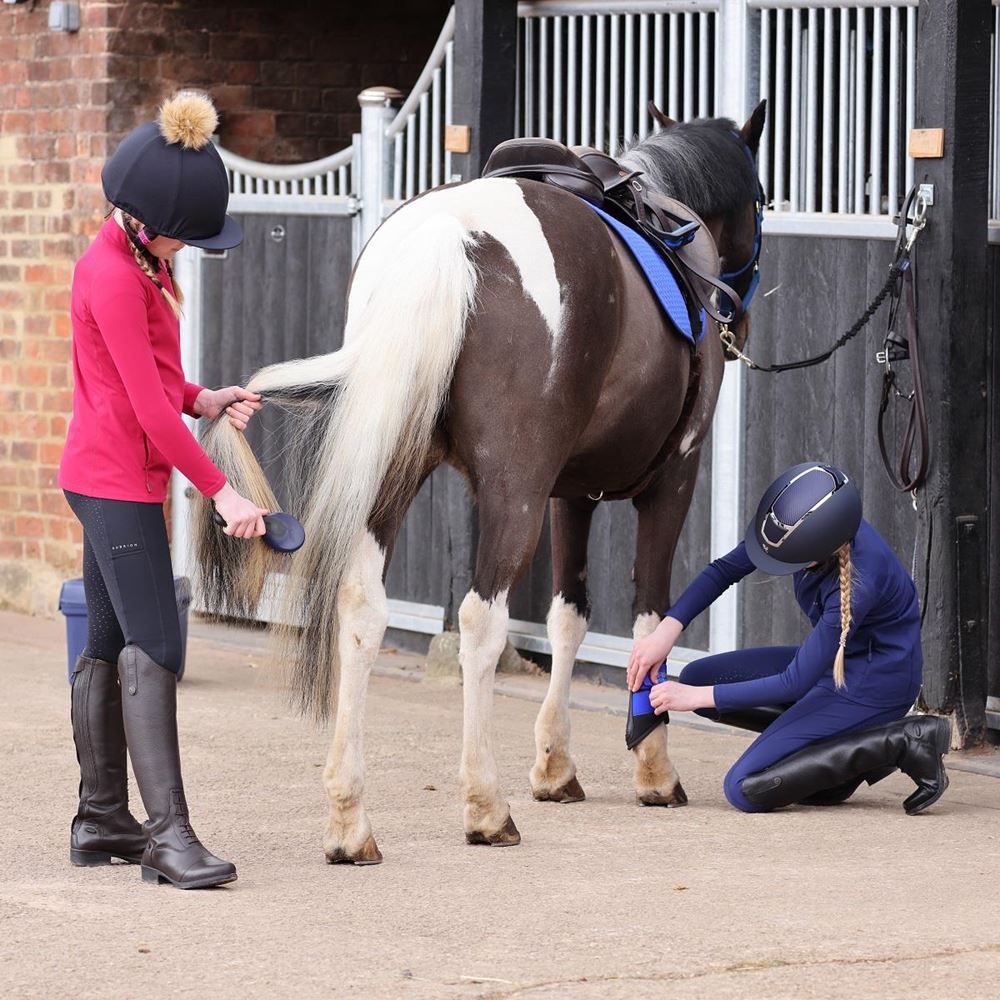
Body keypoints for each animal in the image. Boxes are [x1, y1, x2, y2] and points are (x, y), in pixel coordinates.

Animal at [195, 105, 764, 864]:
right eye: (761, 200)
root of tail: (449, 236)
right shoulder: (670, 479)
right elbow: (650, 619)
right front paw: (653, 768)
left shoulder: (569, 493)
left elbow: (567, 615)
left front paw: (556, 764)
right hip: (512, 492)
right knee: (479, 621)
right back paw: (486, 808)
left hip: (396, 470)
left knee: (362, 606)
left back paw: (350, 819)